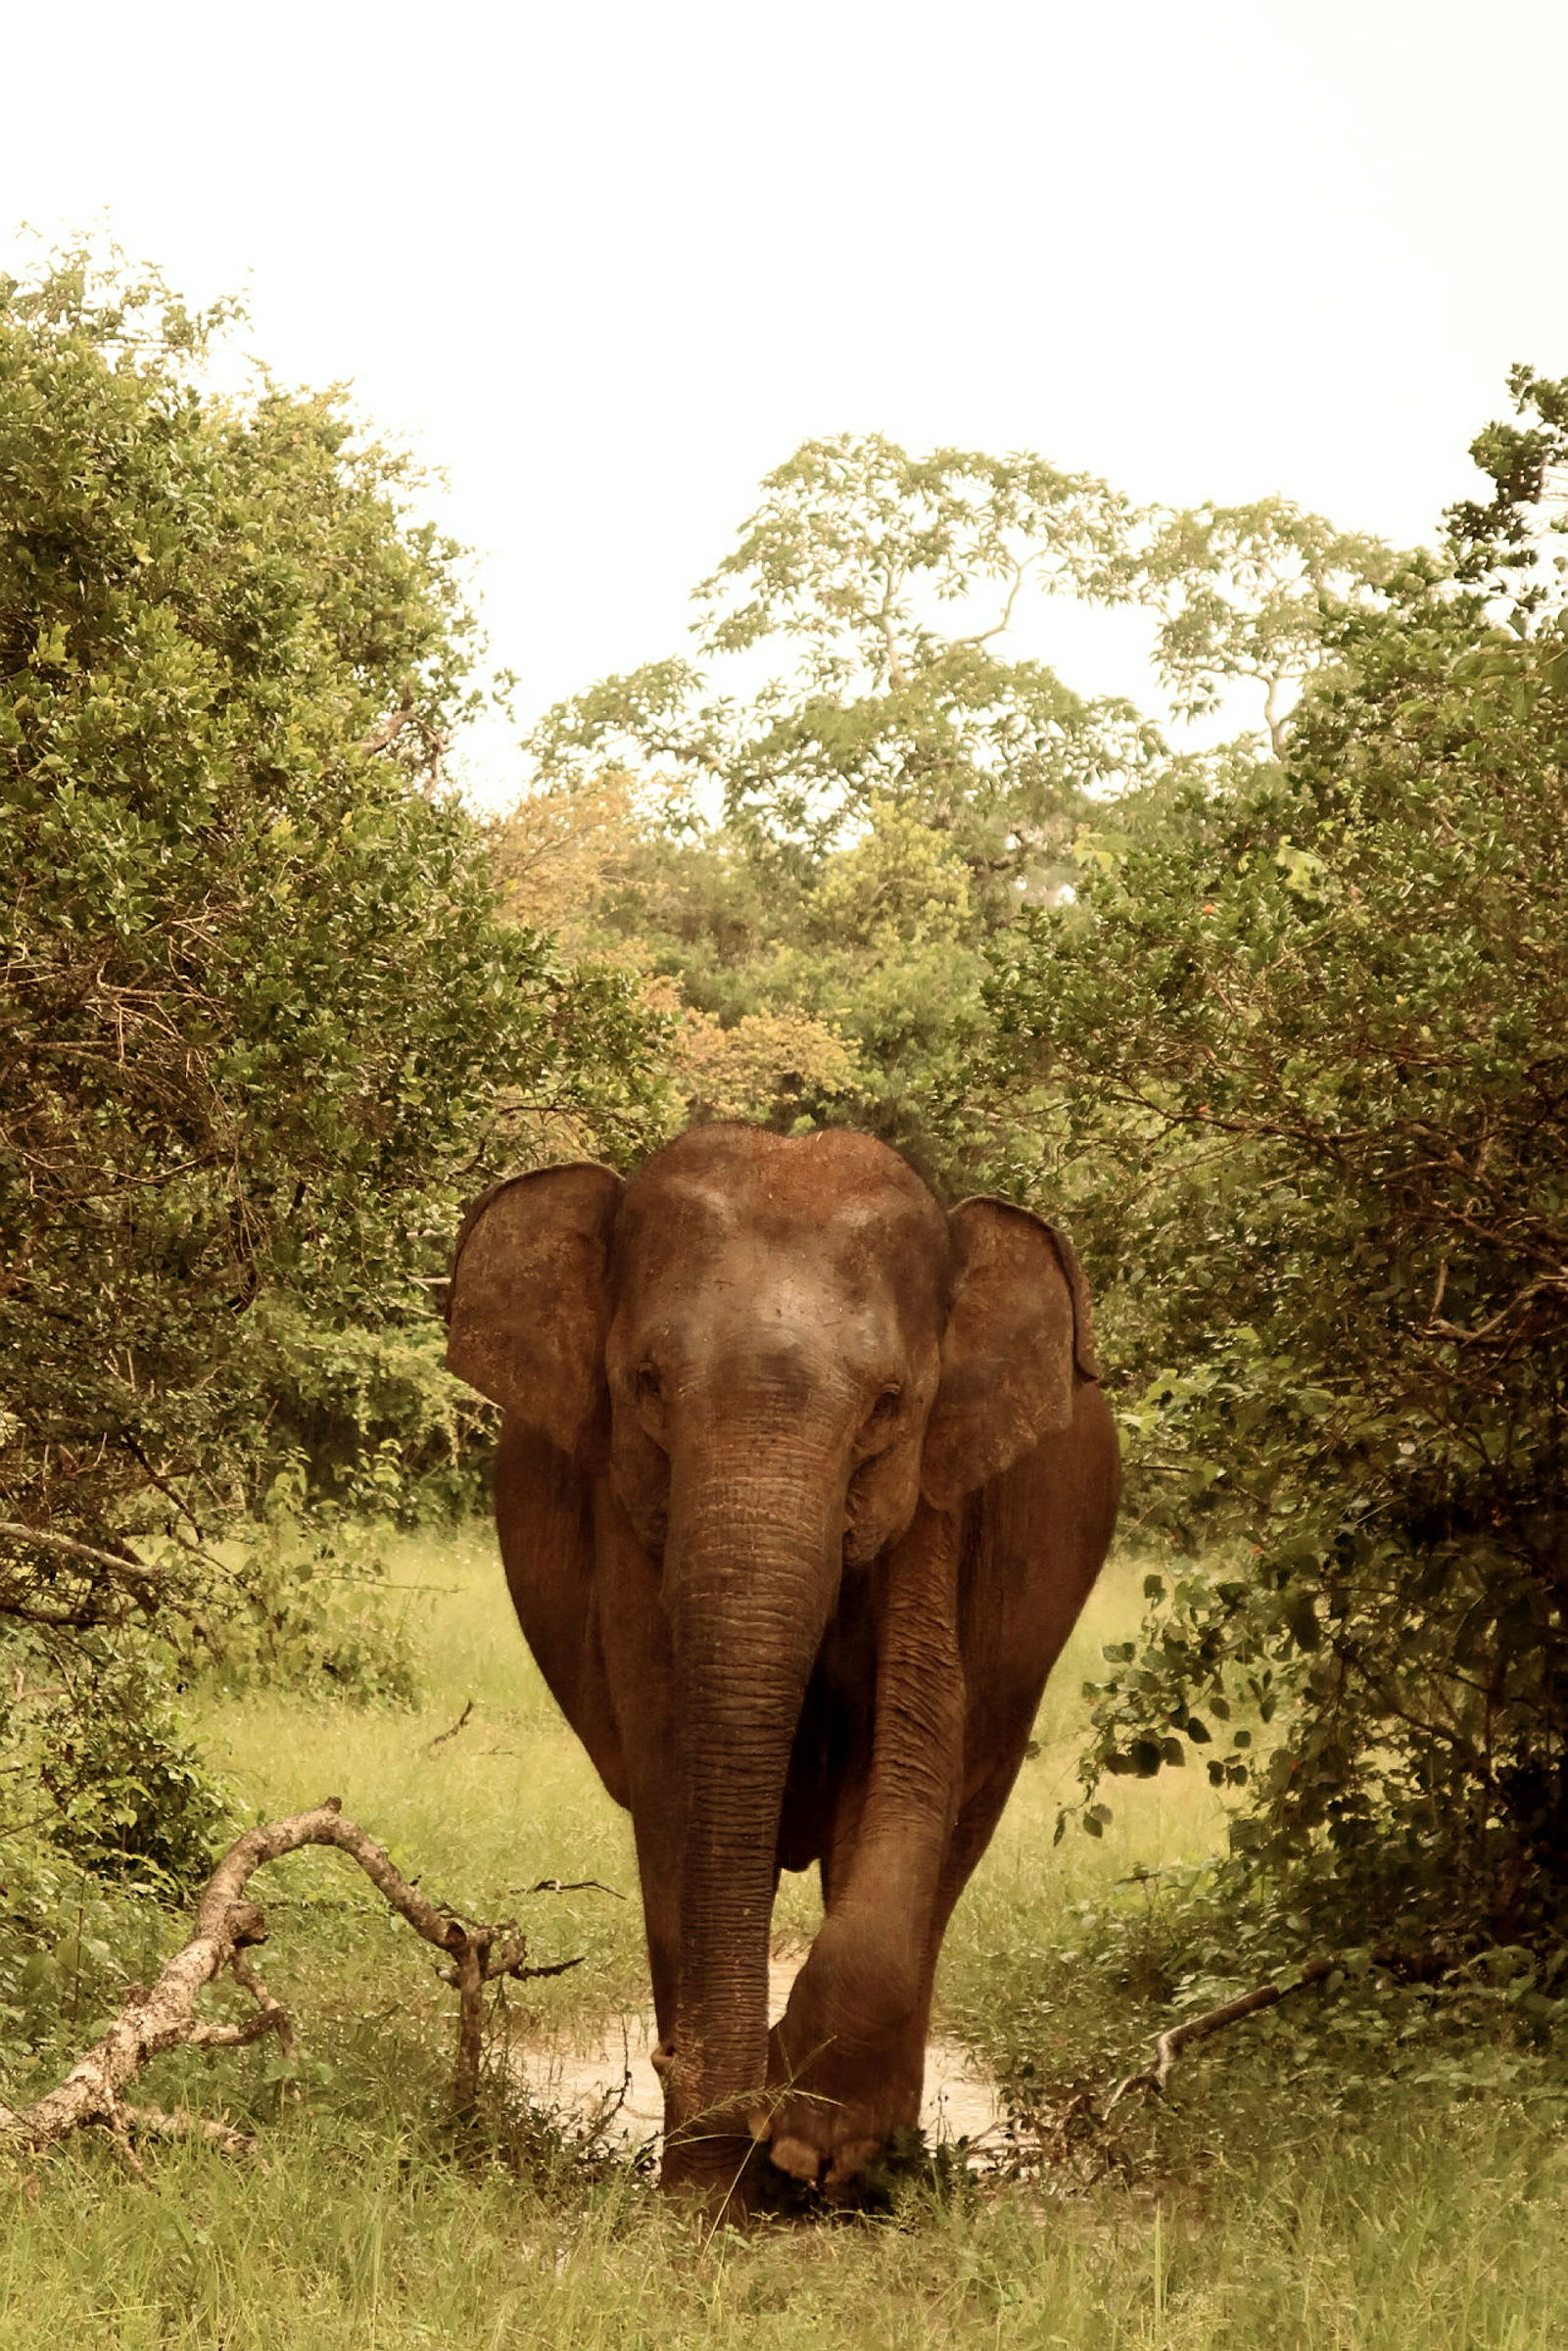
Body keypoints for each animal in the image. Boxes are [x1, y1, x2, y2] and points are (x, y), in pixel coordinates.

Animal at [444, 1121, 1118, 2211]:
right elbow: (674, 1766)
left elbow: (912, 1750)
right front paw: (711, 2187)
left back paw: (874, 2174)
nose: (720, 2102)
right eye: (645, 1383)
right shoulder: (624, 1516)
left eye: (890, 1402)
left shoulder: (933, 1507)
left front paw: (805, 2139)